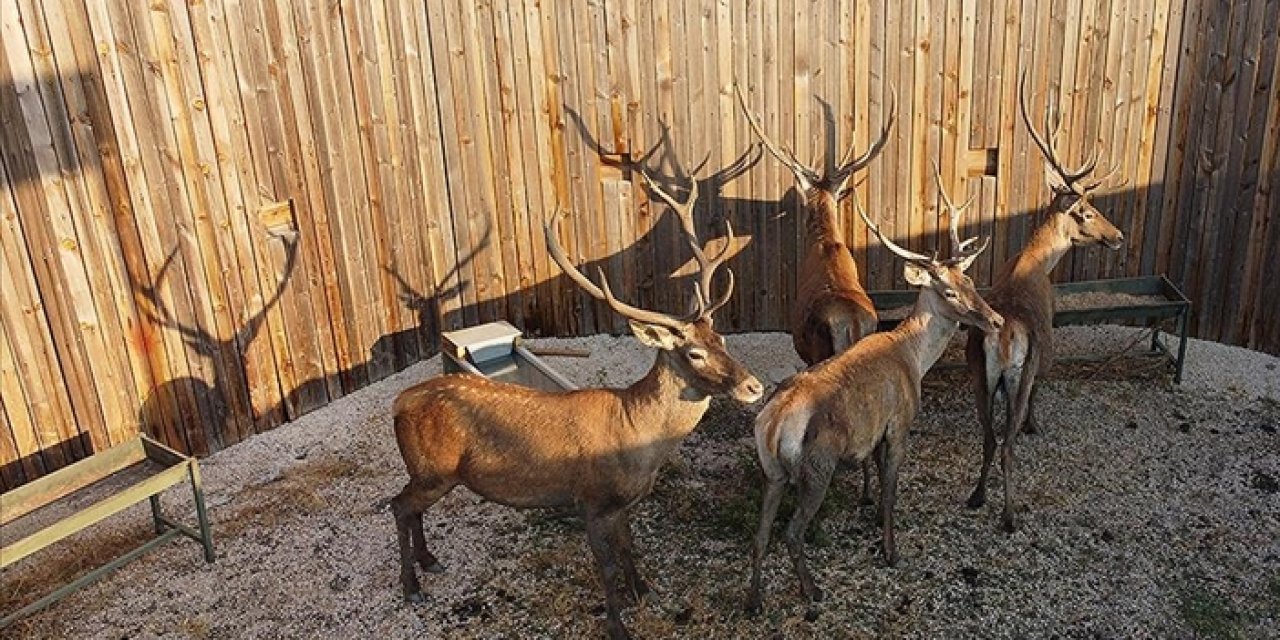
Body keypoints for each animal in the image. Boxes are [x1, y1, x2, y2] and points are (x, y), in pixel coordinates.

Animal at [384, 167, 762, 637]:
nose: (754, 387)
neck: (636, 437)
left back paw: (429, 561)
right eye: (694, 353)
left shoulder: (623, 503)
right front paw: (618, 625)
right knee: (398, 506)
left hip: (430, 473)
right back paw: (410, 586)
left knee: (411, 508)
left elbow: (630, 548)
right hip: (433, 470)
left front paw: (644, 592)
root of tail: (398, 402)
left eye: (722, 339)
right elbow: (605, 566)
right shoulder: (590, 499)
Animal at [747, 172, 1003, 611]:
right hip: (816, 466)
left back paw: (754, 600)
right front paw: (891, 551)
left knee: (760, 535)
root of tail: (774, 423)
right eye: (949, 292)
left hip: (773, 471)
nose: (995, 319)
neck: (913, 358)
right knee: (791, 531)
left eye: (969, 281)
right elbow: (890, 492)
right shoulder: (899, 423)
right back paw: (812, 591)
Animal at [962, 76, 1126, 535]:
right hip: (1021, 367)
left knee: (988, 436)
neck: (1036, 262)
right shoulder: (1044, 356)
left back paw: (976, 496)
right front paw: (1036, 424)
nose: (1118, 235)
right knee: (1005, 443)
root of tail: (1002, 336)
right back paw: (1009, 515)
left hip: (980, 372)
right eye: (1086, 211)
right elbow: (1039, 393)